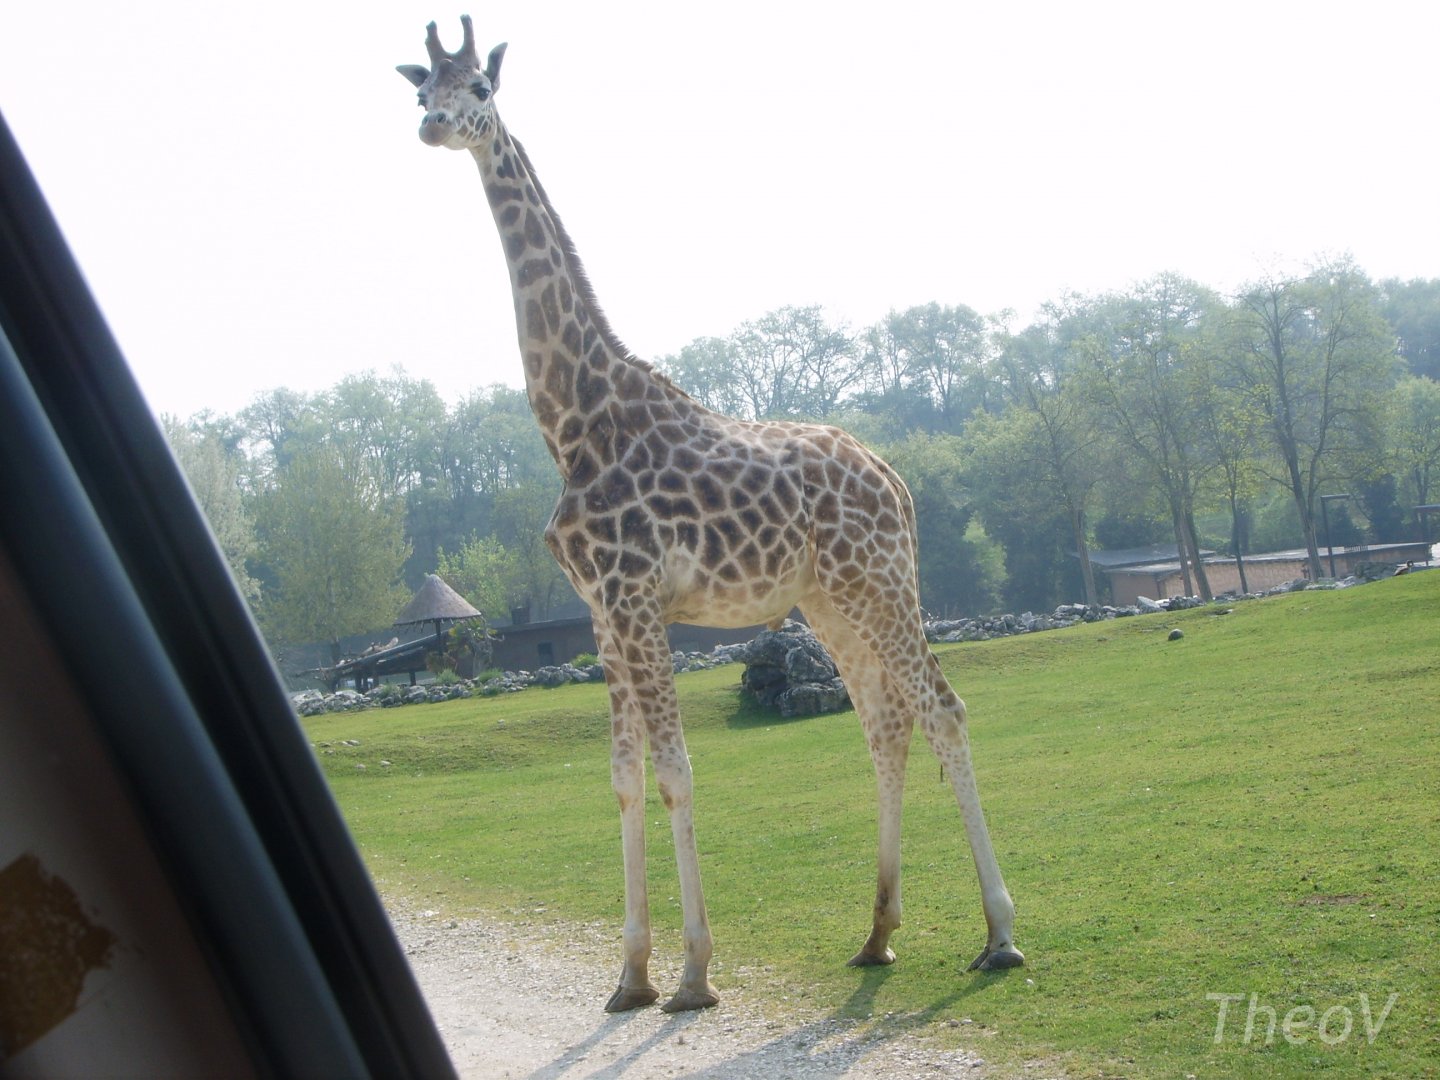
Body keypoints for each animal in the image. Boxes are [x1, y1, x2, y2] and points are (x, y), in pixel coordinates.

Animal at [397, 17, 1024, 1013]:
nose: (433, 125)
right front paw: (629, 976)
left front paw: (692, 973)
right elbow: (623, 778)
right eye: (422, 87)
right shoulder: (605, 612)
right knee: (885, 725)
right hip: (830, 601)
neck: (574, 423)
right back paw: (877, 935)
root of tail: (895, 478)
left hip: (881, 583)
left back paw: (1000, 935)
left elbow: (677, 773)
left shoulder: (639, 597)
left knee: (944, 709)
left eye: (480, 90)